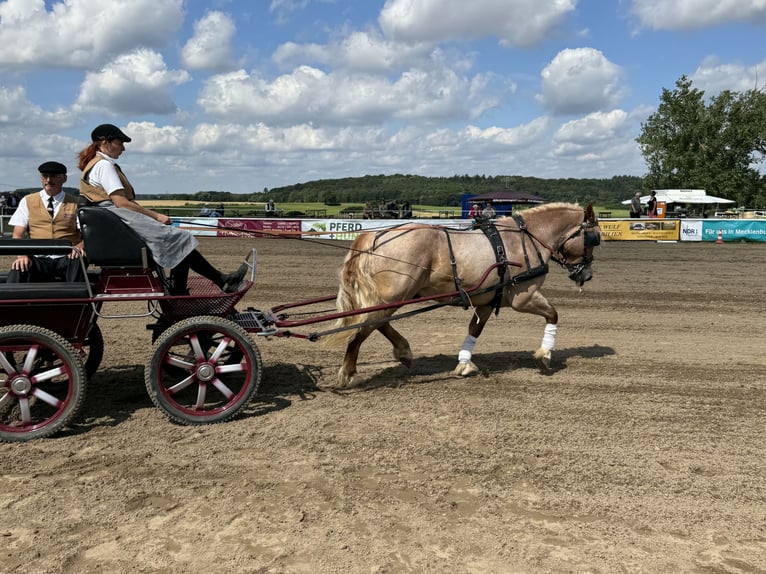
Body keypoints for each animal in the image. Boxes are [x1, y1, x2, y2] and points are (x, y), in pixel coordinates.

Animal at [320, 202, 604, 388]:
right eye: (594, 238)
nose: (587, 275)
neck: (527, 239)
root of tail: (374, 235)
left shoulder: (487, 300)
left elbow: (474, 330)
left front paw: (465, 363)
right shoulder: (524, 297)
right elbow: (553, 315)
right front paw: (545, 355)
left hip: (393, 296)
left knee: (378, 322)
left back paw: (403, 351)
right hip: (393, 295)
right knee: (365, 327)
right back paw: (348, 371)